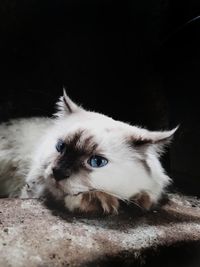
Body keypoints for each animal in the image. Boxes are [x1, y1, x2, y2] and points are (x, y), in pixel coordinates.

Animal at [0, 91, 177, 215]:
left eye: (97, 162)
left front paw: (138, 201)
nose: (58, 172)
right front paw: (101, 202)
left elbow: (146, 198)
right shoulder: (31, 188)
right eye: (60, 147)